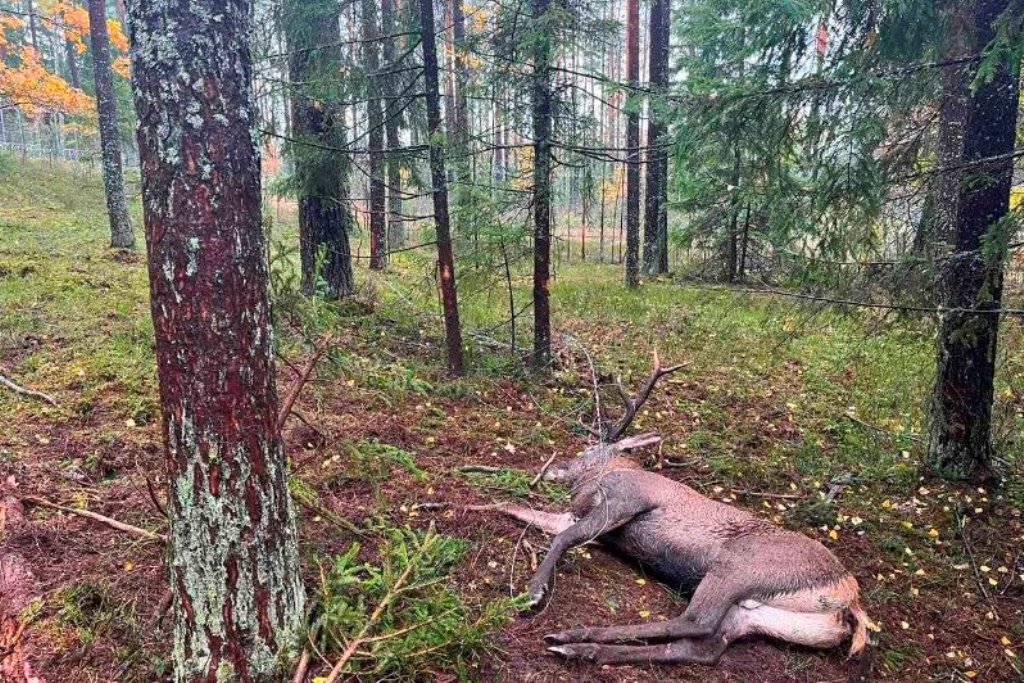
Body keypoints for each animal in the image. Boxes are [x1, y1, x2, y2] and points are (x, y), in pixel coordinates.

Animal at [475, 356, 868, 663]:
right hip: (759, 614)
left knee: (695, 621)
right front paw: (476, 502)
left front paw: (534, 592)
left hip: (739, 564)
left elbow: (565, 537)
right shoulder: (589, 520)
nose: (556, 468)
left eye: (588, 449)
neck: (606, 477)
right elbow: (523, 511)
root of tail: (850, 600)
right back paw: (582, 648)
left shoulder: (627, 499)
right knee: (702, 648)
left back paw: (573, 636)